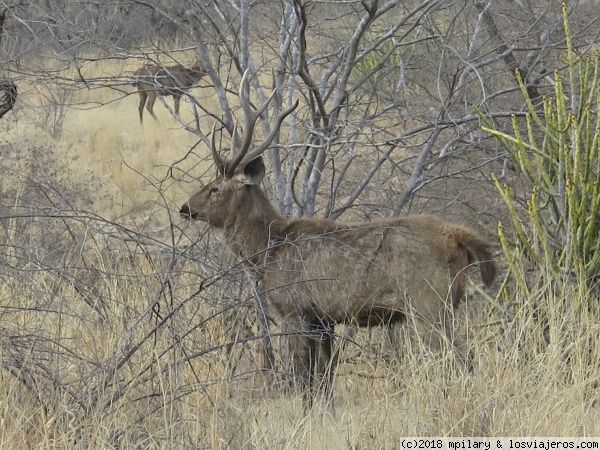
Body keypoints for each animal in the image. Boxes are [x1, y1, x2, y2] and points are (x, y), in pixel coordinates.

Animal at [179, 70, 496, 408]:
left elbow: (304, 377)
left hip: (429, 303)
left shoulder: (295, 309)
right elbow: (325, 379)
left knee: (461, 358)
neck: (267, 252)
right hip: (441, 304)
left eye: (214, 188)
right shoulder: (324, 320)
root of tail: (455, 235)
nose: (185, 208)